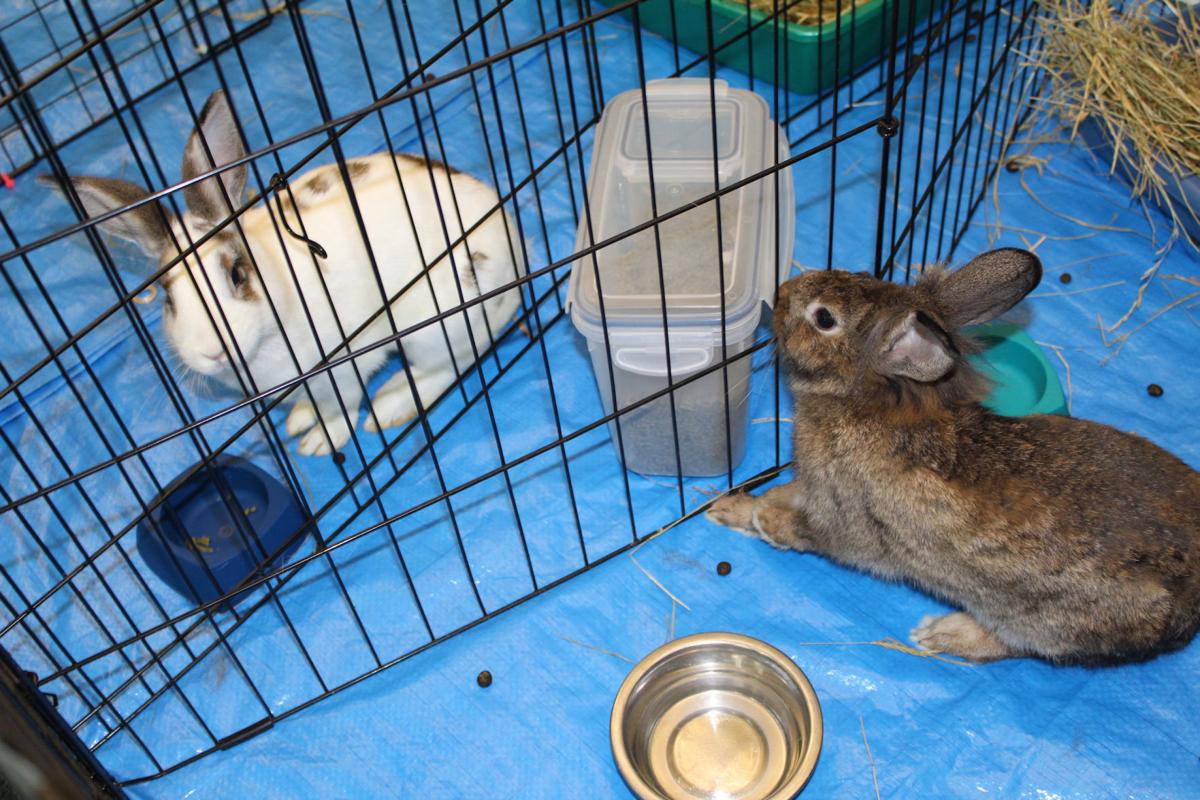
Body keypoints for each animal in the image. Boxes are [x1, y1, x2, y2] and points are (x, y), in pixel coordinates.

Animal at [42, 90, 525, 455]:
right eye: (167, 298)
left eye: (237, 275)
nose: (212, 352)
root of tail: (519, 247)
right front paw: (300, 422)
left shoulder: (345, 366)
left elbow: (343, 407)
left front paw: (321, 442)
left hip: (434, 326)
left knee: (454, 363)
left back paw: (389, 407)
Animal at [707, 248, 1200, 666]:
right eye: (862, 272)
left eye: (824, 318)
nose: (781, 292)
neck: (867, 403)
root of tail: (1191, 608)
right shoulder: (813, 486)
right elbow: (786, 493)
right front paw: (733, 508)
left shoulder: (845, 523)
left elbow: (809, 532)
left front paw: (766, 521)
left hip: (1037, 619)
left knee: (1014, 647)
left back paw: (942, 634)